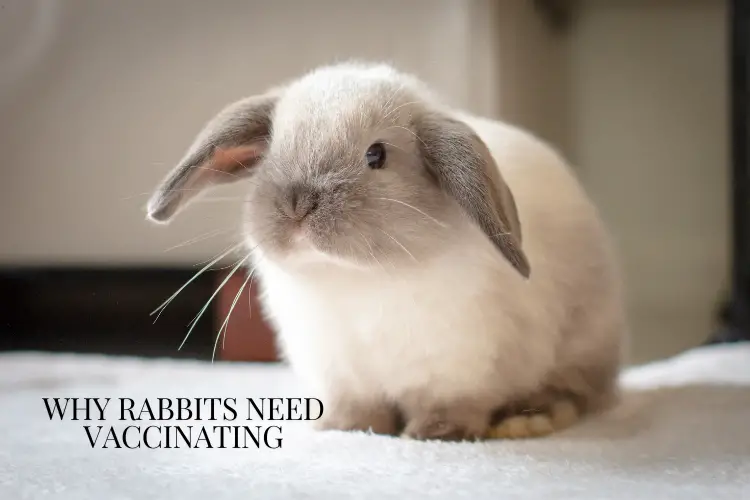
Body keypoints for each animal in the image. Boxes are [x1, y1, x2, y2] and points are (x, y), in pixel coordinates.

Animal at [147, 62, 628, 442]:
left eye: (376, 155)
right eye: (271, 152)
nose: (297, 203)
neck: (356, 278)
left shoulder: (458, 369)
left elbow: (453, 405)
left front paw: (436, 434)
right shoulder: (342, 375)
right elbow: (359, 409)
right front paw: (347, 429)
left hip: (582, 346)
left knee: (576, 393)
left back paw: (526, 420)